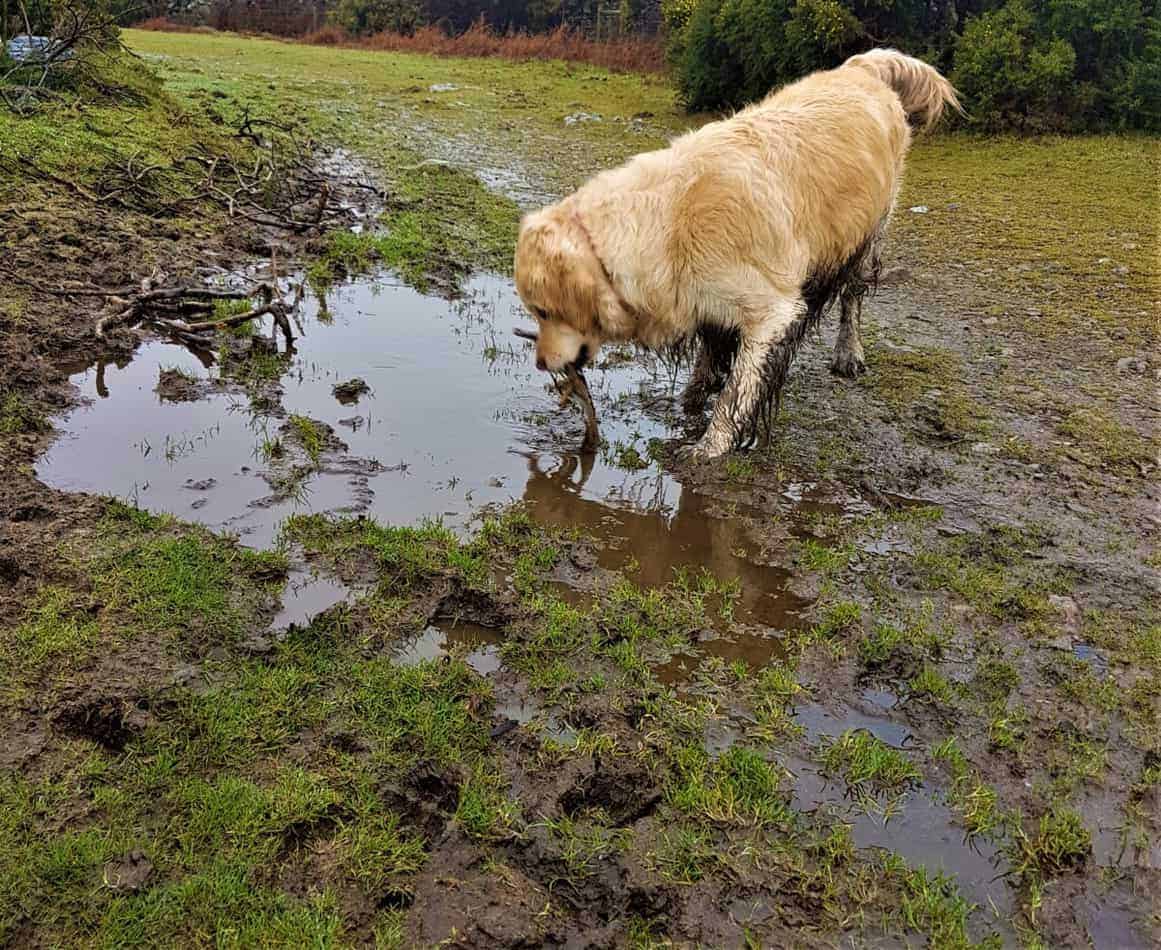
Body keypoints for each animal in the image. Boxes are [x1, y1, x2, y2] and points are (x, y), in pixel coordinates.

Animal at [517, 49, 961, 457]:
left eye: (543, 311)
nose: (540, 364)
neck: (673, 221)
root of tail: (861, 67)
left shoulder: (771, 313)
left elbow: (737, 391)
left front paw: (710, 446)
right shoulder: (702, 299)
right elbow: (709, 358)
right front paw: (691, 402)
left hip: (869, 233)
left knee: (852, 297)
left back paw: (848, 353)